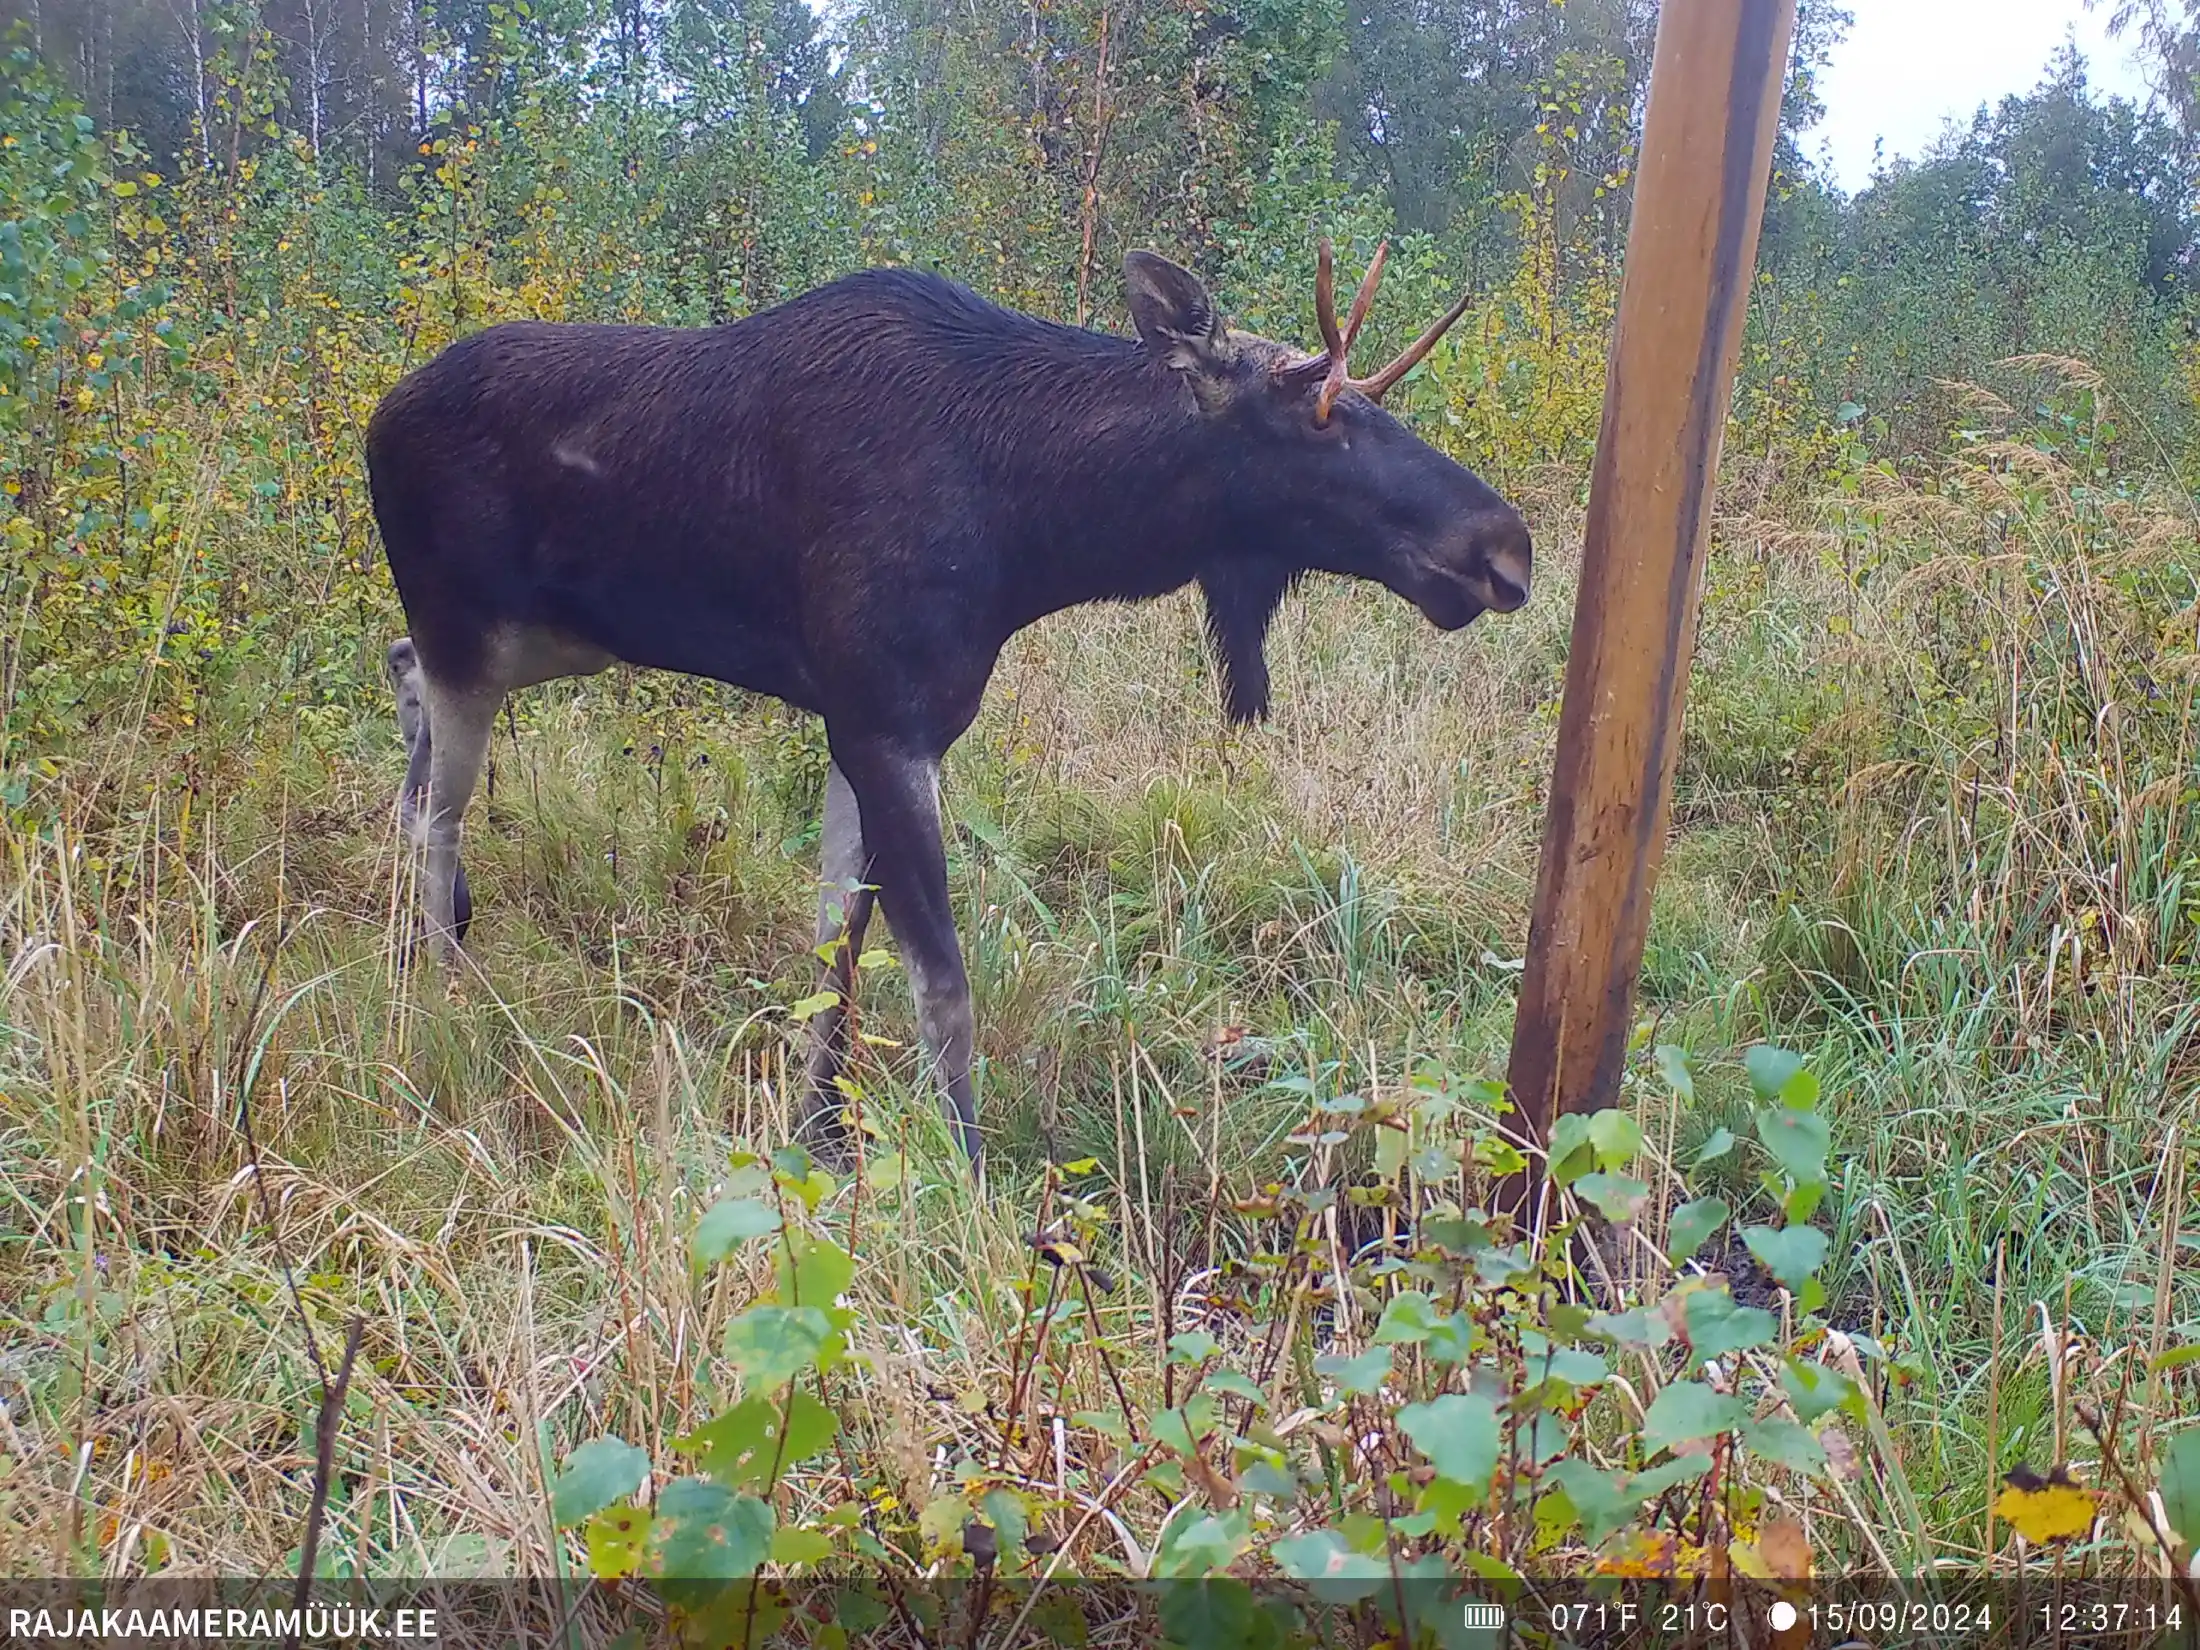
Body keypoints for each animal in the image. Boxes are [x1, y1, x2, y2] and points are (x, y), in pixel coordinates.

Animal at [369, 242, 1531, 1179]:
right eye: (1318, 416)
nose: (1502, 547)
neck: (1039, 526)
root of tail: (377, 418)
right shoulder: (885, 724)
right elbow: (941, 988)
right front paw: (969, 1181)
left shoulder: (863, 724)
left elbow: (836, 953)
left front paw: (824, 1137)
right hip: (474, 634)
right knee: (432, 810)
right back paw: (442, 1001)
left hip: (541, 640)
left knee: (402, 684)